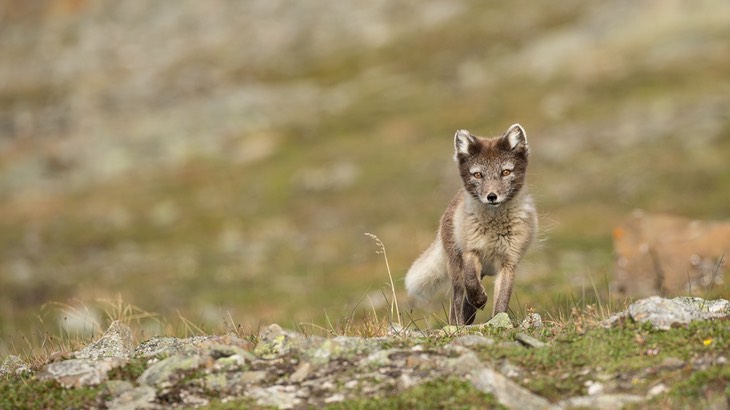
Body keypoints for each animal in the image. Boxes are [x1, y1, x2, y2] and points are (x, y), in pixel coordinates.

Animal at [404, 123, 536, 326]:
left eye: (505, 172)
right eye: (478, 175)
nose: (491, 196)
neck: (494, 227)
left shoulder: (509, 262)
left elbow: (502, 300)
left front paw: (499, 319)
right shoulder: (470, 252)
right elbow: (471, 284)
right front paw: (480, 300)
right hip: (455, 268)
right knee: (458, 299)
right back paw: (458, 324)